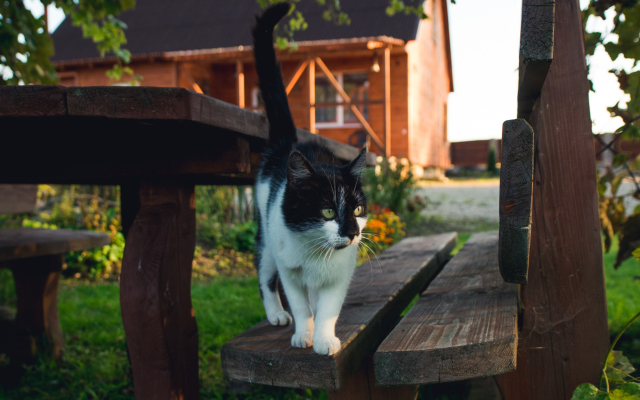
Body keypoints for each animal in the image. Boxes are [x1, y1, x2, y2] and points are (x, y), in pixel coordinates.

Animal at [252, 1, 368, 354]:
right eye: (327, 210)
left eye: (358, 210)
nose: (352, 233)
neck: (318, 253)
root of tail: (290, 143)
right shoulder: (289, 269)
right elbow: (299, 303)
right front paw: (304, 333)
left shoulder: (340, 274)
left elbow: (329, 306)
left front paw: (324, 338)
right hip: (267, 234)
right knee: (264, 272)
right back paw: (276, 314)